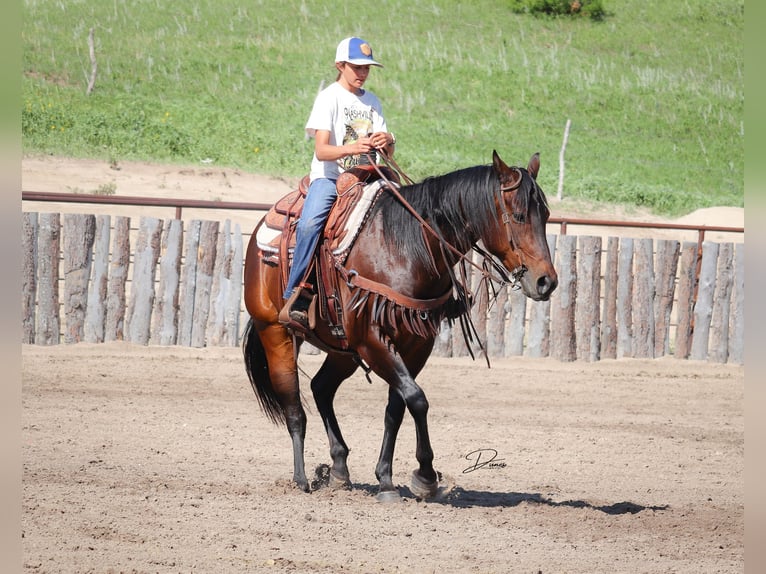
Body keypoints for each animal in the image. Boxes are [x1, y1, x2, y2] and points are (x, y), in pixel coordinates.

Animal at [244, 151, 560, 502]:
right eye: (518, 215)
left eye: (546, 214)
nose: (546, 281)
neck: (405, 247)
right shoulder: (371, 339)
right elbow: (417, 398)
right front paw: (425, 476)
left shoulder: (417, 344)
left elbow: (399, 405)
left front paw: (387, 480)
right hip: (275, 332)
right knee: (294, 406)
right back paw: (300, 479)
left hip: (342, 348)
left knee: (321, 388)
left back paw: (339, 469)